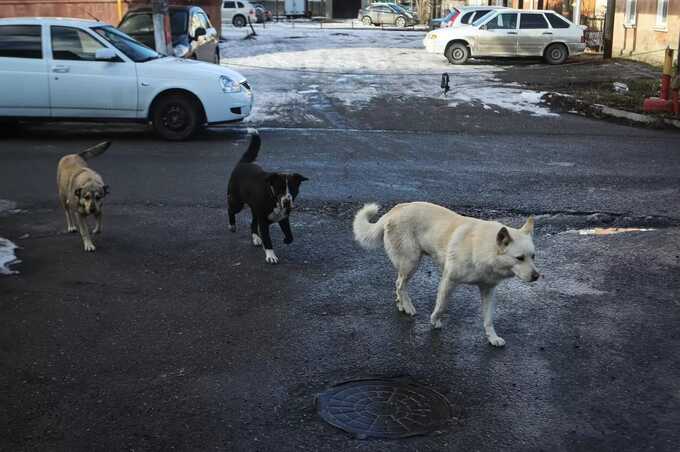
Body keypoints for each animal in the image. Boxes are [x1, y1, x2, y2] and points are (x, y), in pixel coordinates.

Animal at [228, 129, 308, 264]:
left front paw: (286, 240)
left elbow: (290, 235)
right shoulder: (263, 222)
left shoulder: (283, 218)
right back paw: (232, 225)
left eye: (293, 189)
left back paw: (255, 237)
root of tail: (243, 163)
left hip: (254, 209)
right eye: (279, 188)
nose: (287, 201)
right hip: (237, 202)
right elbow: (267, 239)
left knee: (252, 224)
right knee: (231, 210)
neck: (273, 199)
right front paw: (270, 255)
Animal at [354, 201, 540, 346]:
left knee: (398, 284)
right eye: (519, 258)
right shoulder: (448, 280)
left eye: (533, 256)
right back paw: (407, 306)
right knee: (400, 284)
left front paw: (492, 338)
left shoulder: (488, 290)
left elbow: (488, 318)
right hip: (411, 263)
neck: (483, 248)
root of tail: (395, 210)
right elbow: (442, 305)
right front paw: (435, 320)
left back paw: (401, 304)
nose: (537, 276)